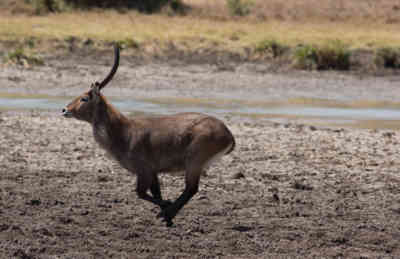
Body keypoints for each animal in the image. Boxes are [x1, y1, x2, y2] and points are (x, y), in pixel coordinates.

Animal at [62, 46, 234, 228]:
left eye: (84, 98)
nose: (64, 110)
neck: (123, 131)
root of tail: (228, 133)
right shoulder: (153, 172)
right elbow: (155, 193)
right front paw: (167, 218)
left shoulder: (144, 170)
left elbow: (140, 193)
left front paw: (166, 209)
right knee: (190, 189)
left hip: (194, 162)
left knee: (191, 188)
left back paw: (167, 212)